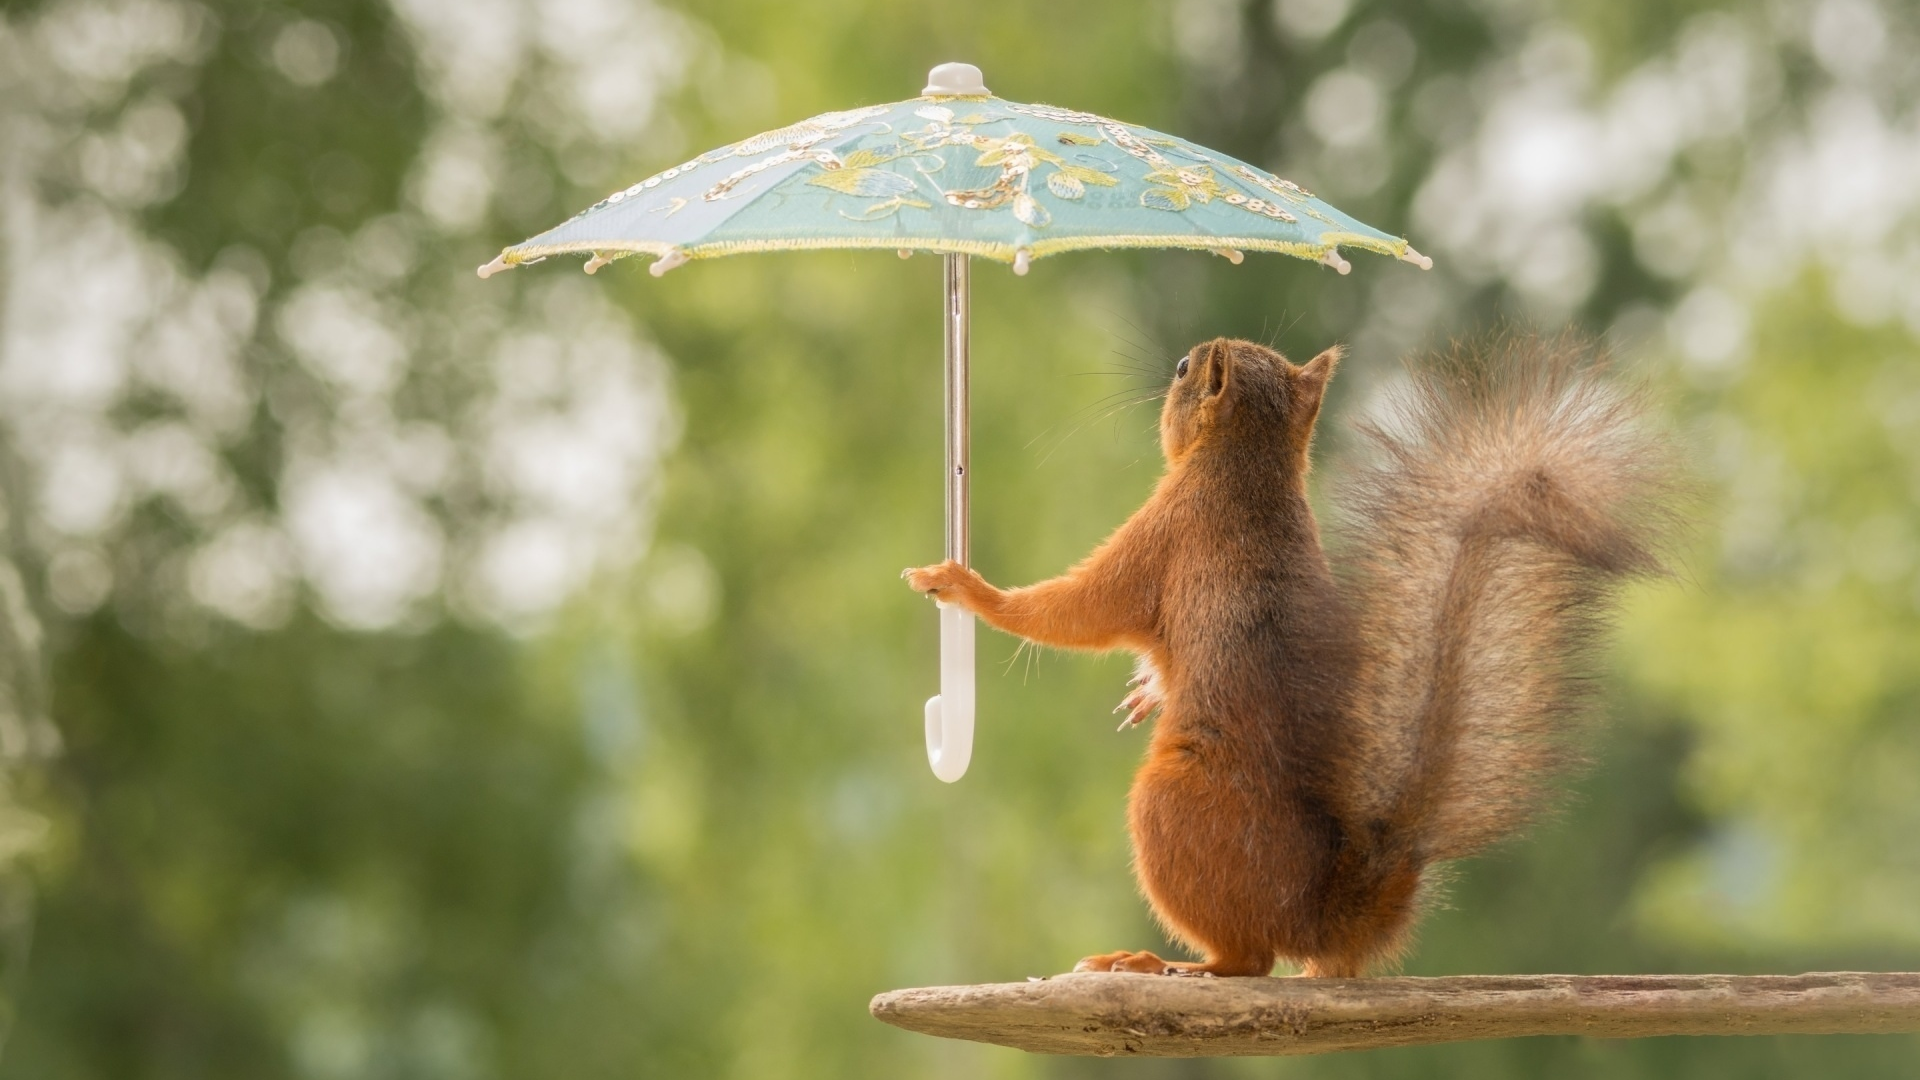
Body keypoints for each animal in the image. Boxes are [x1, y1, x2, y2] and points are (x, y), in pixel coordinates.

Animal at [898, 334, 1666, 976]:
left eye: (1185, 368)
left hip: (1171, 804)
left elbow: (1078, 609)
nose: (1171, 367)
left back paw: (1160, 963)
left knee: (1250, 961)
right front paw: (1147, 692)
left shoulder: (1167, 530)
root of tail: (1322, 919)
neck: (1249, 462)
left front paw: (965, 587)